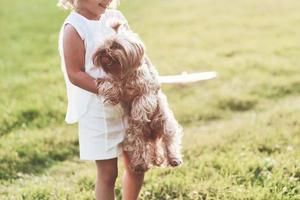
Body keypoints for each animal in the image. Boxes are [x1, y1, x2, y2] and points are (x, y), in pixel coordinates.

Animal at [91, 21, 183, 172]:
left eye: (115, 45)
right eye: (102, 45)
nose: (103, 51)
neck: (124, 74)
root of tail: (152, 135)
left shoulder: (147, 91)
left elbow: (141, 102)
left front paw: (137, 113)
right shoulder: (117, 83)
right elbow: (111, 85)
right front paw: (110, 91)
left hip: (165, 124)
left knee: (169, 141)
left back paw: (174, 159)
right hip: (134, 134)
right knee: (139, 147)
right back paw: (140, 164)